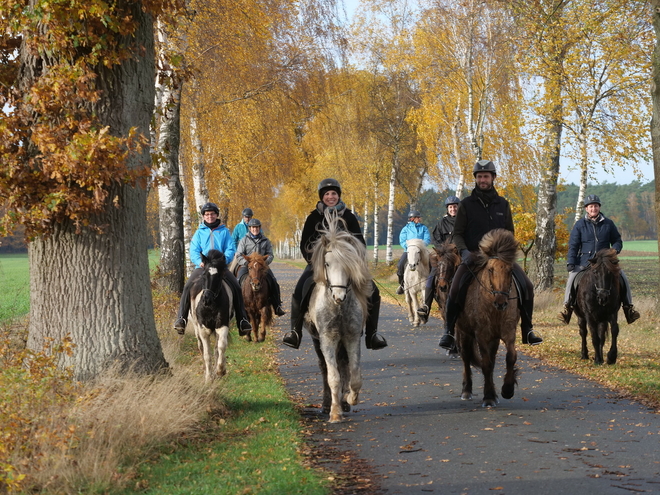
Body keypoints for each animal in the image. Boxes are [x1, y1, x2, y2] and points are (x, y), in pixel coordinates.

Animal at [188, 248, 235, 384]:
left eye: (219, 276)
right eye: (204, 275)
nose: (206, 300)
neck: (211, 306)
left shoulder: (222, 325)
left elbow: (221, 347)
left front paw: (220, 370)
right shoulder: (203, 329)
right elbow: (206, 354)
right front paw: (208, 378)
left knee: (216, 347)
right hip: (196, 328)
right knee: (201, 347)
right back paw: (206, 370)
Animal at [304, 211, 372, 424]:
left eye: (349, 265)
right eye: (327, 264)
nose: (339, 296)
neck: (339, 308)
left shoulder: (351, 337)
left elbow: (354, 375)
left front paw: (350, 398)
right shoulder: (328, 339)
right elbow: (332, 377)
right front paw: (335, 412)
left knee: (343, 366)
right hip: (317, 341)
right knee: (325, 369)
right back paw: (327, 405)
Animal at [454, 231, 520, 408]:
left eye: (511, 270)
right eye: (490, 270)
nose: (501, 302)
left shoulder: (508, 332)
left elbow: (510, 357)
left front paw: (507, 389)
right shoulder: (482, 335)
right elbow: (486, 364)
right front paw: (489, 397)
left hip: (493, 338)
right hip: (464, 332)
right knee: (466, 357)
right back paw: (466, 390)